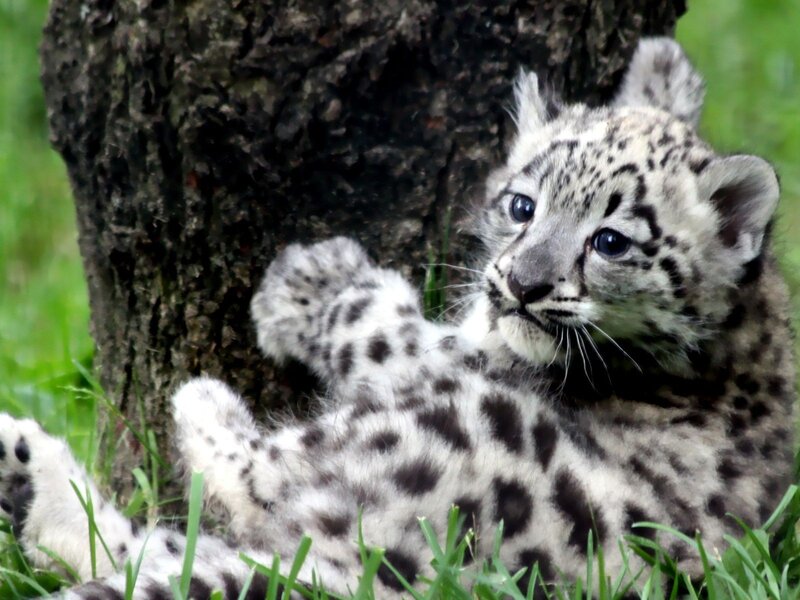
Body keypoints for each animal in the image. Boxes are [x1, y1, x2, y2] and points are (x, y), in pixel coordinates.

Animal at [0, 37, 795, 599]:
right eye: (522, 205)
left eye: (610, 241)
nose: (522, 284)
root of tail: (389, 564)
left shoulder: (458, 355)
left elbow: (382, 327)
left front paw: (309, 282)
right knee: (176, 549)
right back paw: (27, 473)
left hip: (442, 422)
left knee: (249, 488)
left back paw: (193, 406)